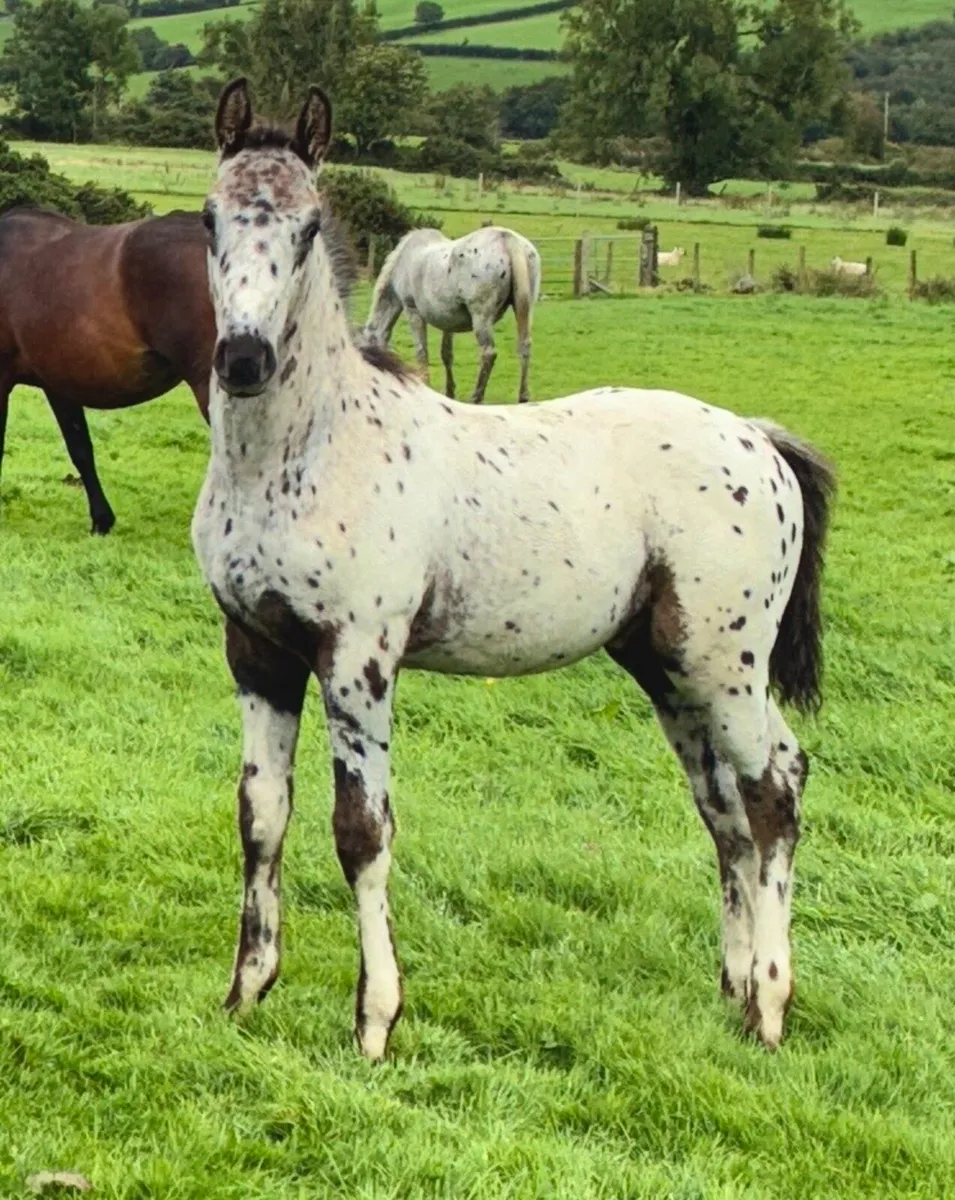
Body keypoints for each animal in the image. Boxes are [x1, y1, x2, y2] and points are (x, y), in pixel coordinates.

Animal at [361, 225, 541, 405]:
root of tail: (507, 239)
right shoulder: (448, 322)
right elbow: (446, 354)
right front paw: (449, 392)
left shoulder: (412, 310)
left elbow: (422, 352)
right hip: (524, 311)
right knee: (524, 347)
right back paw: (523, 397)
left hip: (481, 318)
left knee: (488, 353)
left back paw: (476, 397)